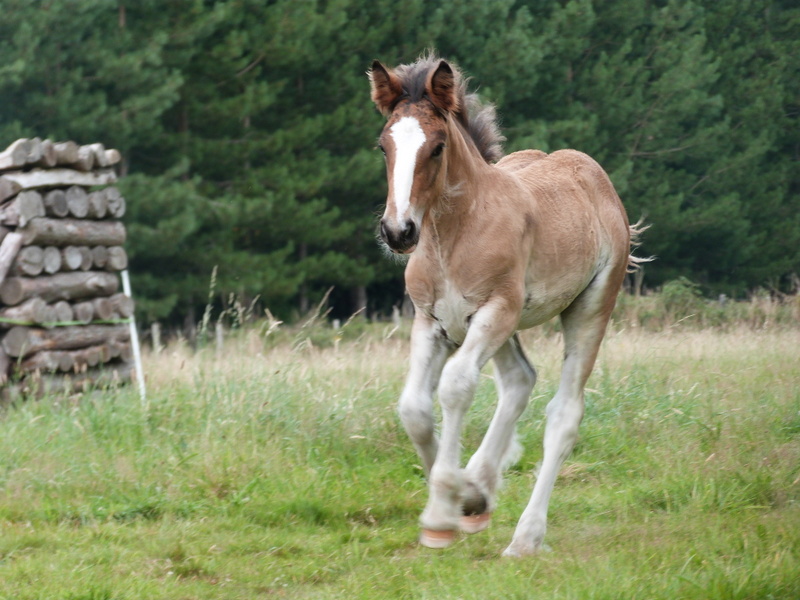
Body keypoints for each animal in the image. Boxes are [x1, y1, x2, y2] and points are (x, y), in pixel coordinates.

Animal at [370, 56, 644, 556]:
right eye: (384, 146)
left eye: (437, 147)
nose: (398, 232)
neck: (452, 236)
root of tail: (596, 178)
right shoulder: (432, 321)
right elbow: (414, 409)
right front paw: (465, 497)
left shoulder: (495, 310)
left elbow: (455, 387)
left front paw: (442, 513)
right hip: (497, 328)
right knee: (519, 380)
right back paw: (480, 486)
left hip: (587, 307)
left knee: (563, 414)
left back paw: (526, 537)